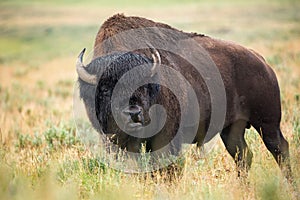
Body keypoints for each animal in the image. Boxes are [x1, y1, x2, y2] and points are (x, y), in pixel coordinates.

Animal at [76, 13, 292, 177]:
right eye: (105, 88)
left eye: (144, 86)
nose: (133, 113)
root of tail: (262, 62)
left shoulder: (165, 139)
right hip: (231, 129)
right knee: (243, 156)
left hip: (267, 123)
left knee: (279, 149)